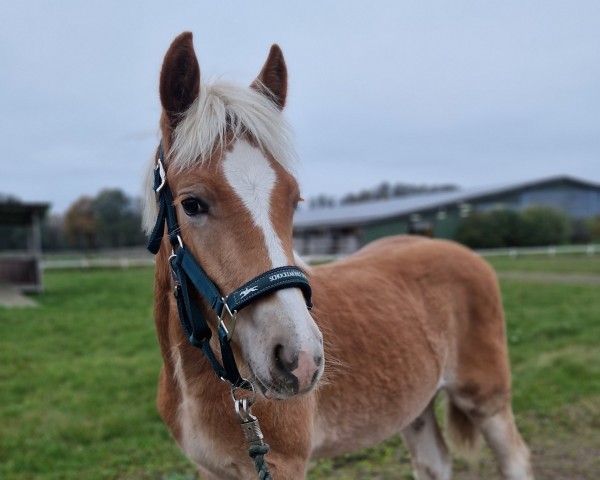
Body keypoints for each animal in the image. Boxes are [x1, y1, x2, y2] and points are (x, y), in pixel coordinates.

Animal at [144, 31, 536, 478]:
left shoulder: (283, 464)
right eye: (191, 204)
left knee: (515, 458)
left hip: (486, 398)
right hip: (415, 407)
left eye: (294, 199)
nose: (300, 359)